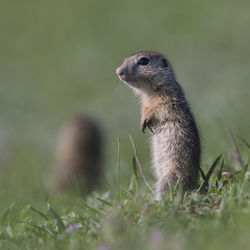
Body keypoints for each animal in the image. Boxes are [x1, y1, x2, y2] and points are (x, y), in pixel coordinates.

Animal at [116, 51, 200, 200]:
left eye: (143, 61)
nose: (118, 71)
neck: (149, 92)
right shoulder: (145, 102)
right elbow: (145, 108)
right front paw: (143, 121)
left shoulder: (169, 96)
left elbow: (161, 108)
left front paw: (145, 119)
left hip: (171, 176)